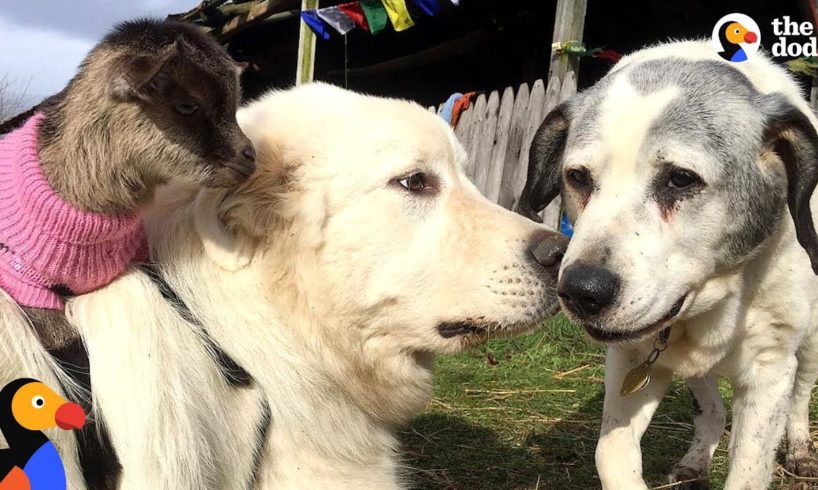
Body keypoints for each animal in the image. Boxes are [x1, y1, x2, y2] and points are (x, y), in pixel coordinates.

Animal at [520, 40, 818, 488]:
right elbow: (611, 453)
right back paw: (694, 464)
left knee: (801, 394)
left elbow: (749, 468)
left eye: (680, 179)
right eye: (578, 177)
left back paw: (799, 448)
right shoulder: (631, 359)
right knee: (711, 408)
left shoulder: (769, 369)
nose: (581, 291)